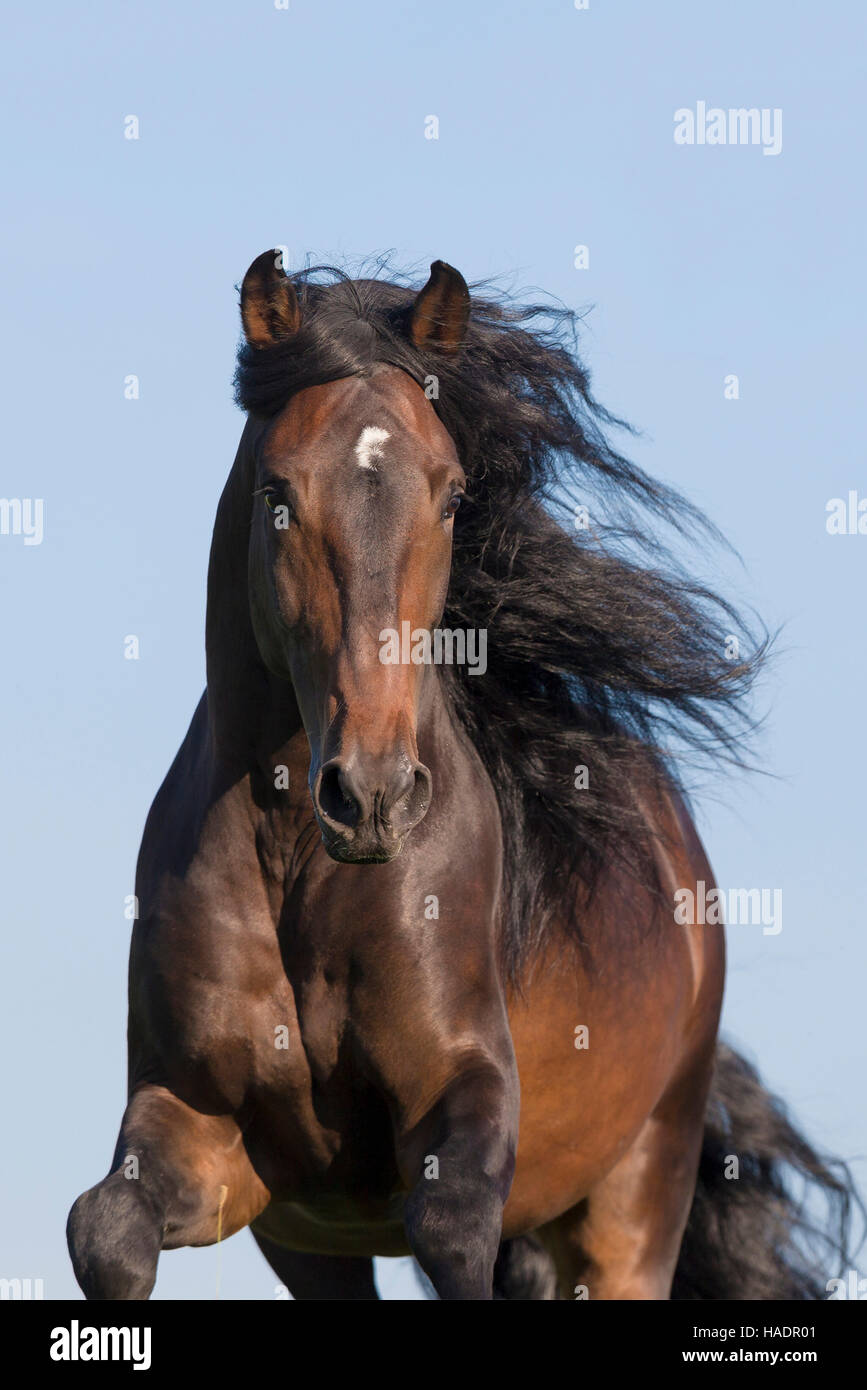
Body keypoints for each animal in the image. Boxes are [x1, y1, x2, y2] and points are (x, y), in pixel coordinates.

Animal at [67, 252, 854, 1300]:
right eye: (277, 494)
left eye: (448, 495)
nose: (371, 795)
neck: (295, 862)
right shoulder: (226, 1141)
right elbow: (105, 1226)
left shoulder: (464, 1095)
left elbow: (448, 1226)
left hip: (638, 1192)